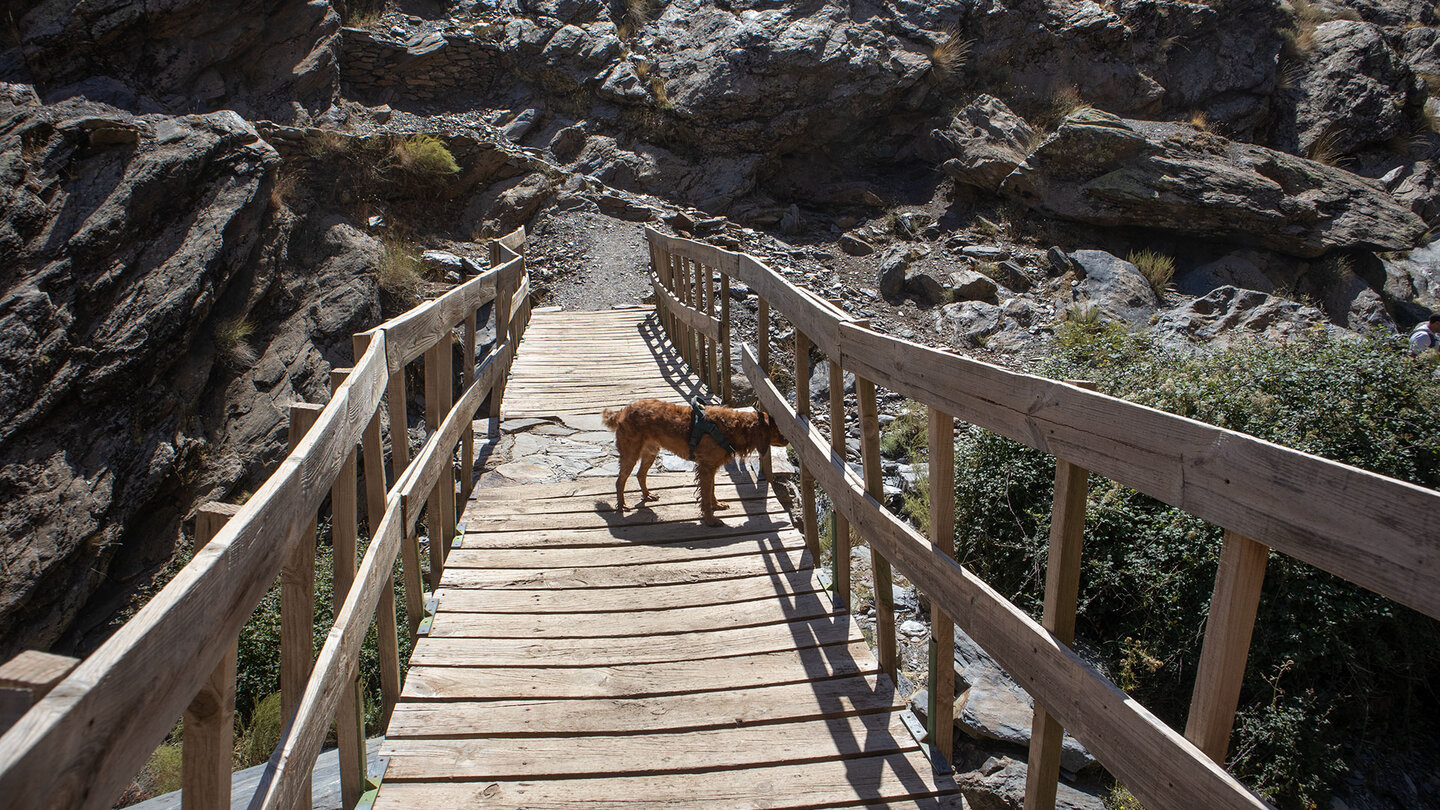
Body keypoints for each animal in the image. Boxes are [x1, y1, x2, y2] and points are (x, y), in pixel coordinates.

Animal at [599, 397, 789, 524]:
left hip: (650, 451)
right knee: (620, 481)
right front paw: (710, 520)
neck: (732, 427)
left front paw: (716, 505)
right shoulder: (706, 467)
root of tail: (623, 411)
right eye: (776, 430)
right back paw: (622, 505)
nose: (787, 440)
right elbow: (705, 495)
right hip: (631, 454)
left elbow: (711, 490)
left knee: (640, 474)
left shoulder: (711, 467)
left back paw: (647, 495)